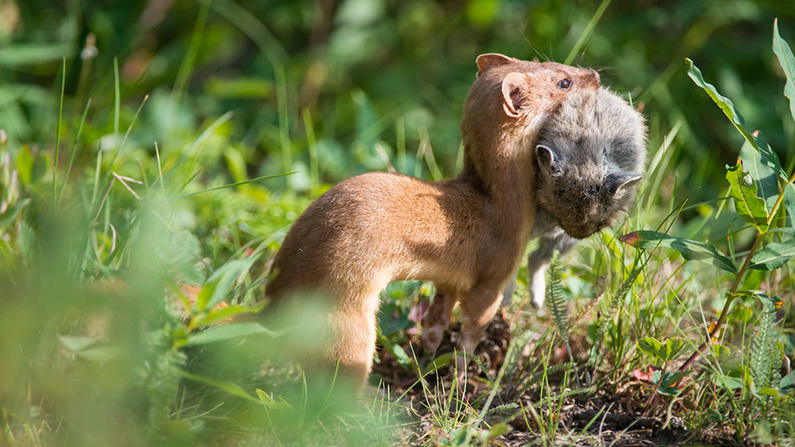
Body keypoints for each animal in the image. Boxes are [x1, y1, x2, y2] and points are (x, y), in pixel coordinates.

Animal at [264, 53, 600, 392]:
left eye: (541, 60)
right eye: (564, 81)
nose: (595, 75)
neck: (501, 204)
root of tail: (276, 300)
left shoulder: (449, 276)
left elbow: (438, 311)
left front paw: (427, 351)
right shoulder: (496, 271)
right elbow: (474, 323)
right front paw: (461, 374)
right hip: (348, 325)